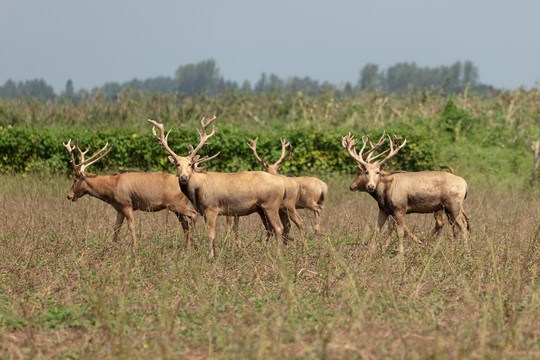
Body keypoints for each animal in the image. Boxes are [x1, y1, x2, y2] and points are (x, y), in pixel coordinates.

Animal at [62, 139, 198, 250]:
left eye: (75, 180)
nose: (69, 195)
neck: (111, 189)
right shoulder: (119, 208)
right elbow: (116, 228)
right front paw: (111, 247)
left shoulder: (126, 204)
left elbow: (131, 226)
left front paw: (134, 247)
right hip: (176, 208)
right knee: (185, 225)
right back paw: (184, 248)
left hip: (177, 204)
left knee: (194, 215)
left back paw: (193, 245)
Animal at [148, 116, 292, 258]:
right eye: (177, 164)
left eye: (190, 164)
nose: (183, 177)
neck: (199, 190)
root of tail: (282, 184)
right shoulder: (204, 211)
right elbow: (214, 235)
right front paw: (216, 253)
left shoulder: (212, 208)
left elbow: (210, 235)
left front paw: (210, 257)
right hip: (262, 208)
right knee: (271, 228)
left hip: (271, 204)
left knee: (279, 228)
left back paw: (278, 255)